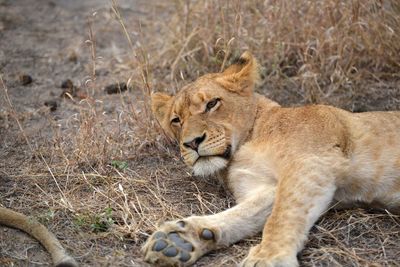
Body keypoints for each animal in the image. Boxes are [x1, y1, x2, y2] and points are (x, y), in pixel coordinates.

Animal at [141, 51, 400, 266]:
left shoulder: (311, 161)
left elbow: (282, 215)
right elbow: (244, 214)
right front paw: (180, 240)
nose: (192, 143)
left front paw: (269, 257)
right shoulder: (264, 186)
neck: (249, 140)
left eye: (212, 103)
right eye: (176, 120)